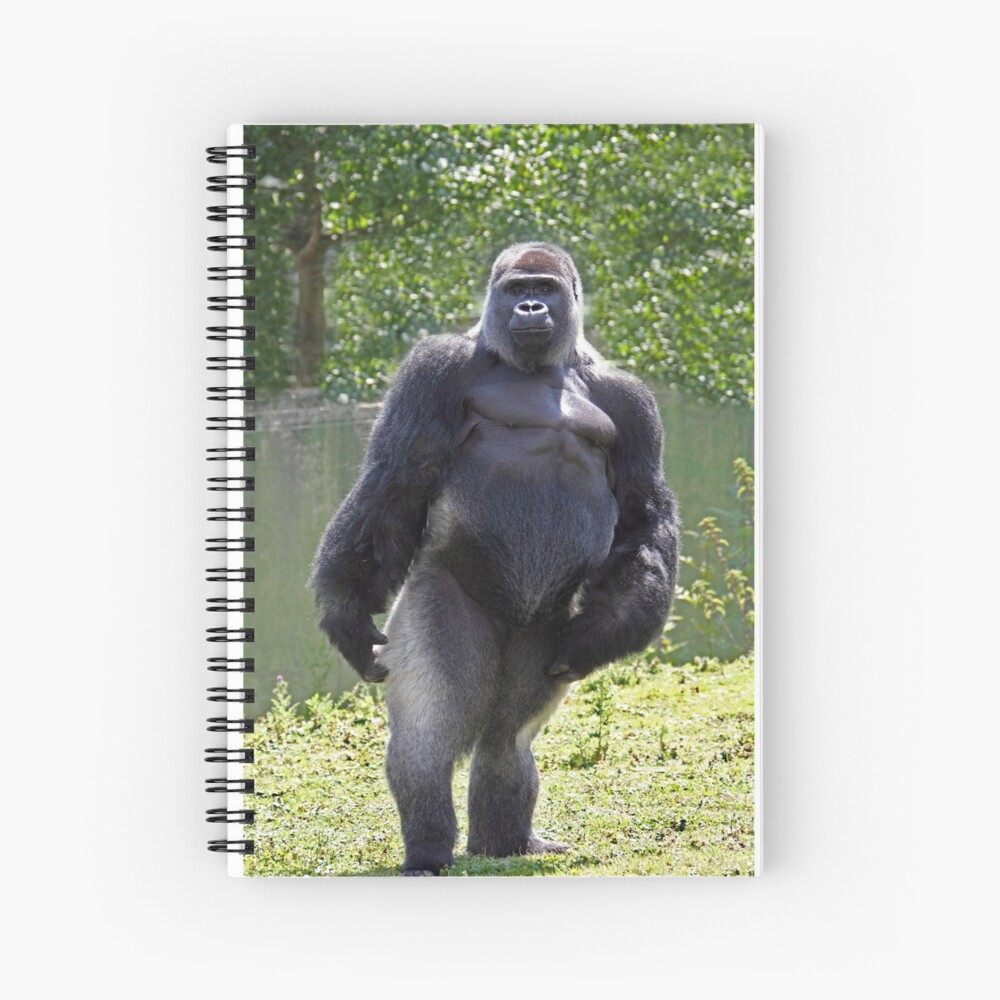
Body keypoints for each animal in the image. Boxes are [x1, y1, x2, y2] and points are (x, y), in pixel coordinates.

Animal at [311, 242, 678, 874]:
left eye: (544, 288)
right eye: (516, 289)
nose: (531, 306)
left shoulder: (631, 400)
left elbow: (643, 513)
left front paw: (611, 627)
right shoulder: (433, 368)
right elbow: (395, 479)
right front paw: (345, 613)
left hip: (547, 626)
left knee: (508, 739)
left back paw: (504, 843)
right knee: (428, 739)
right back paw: (429, 850)